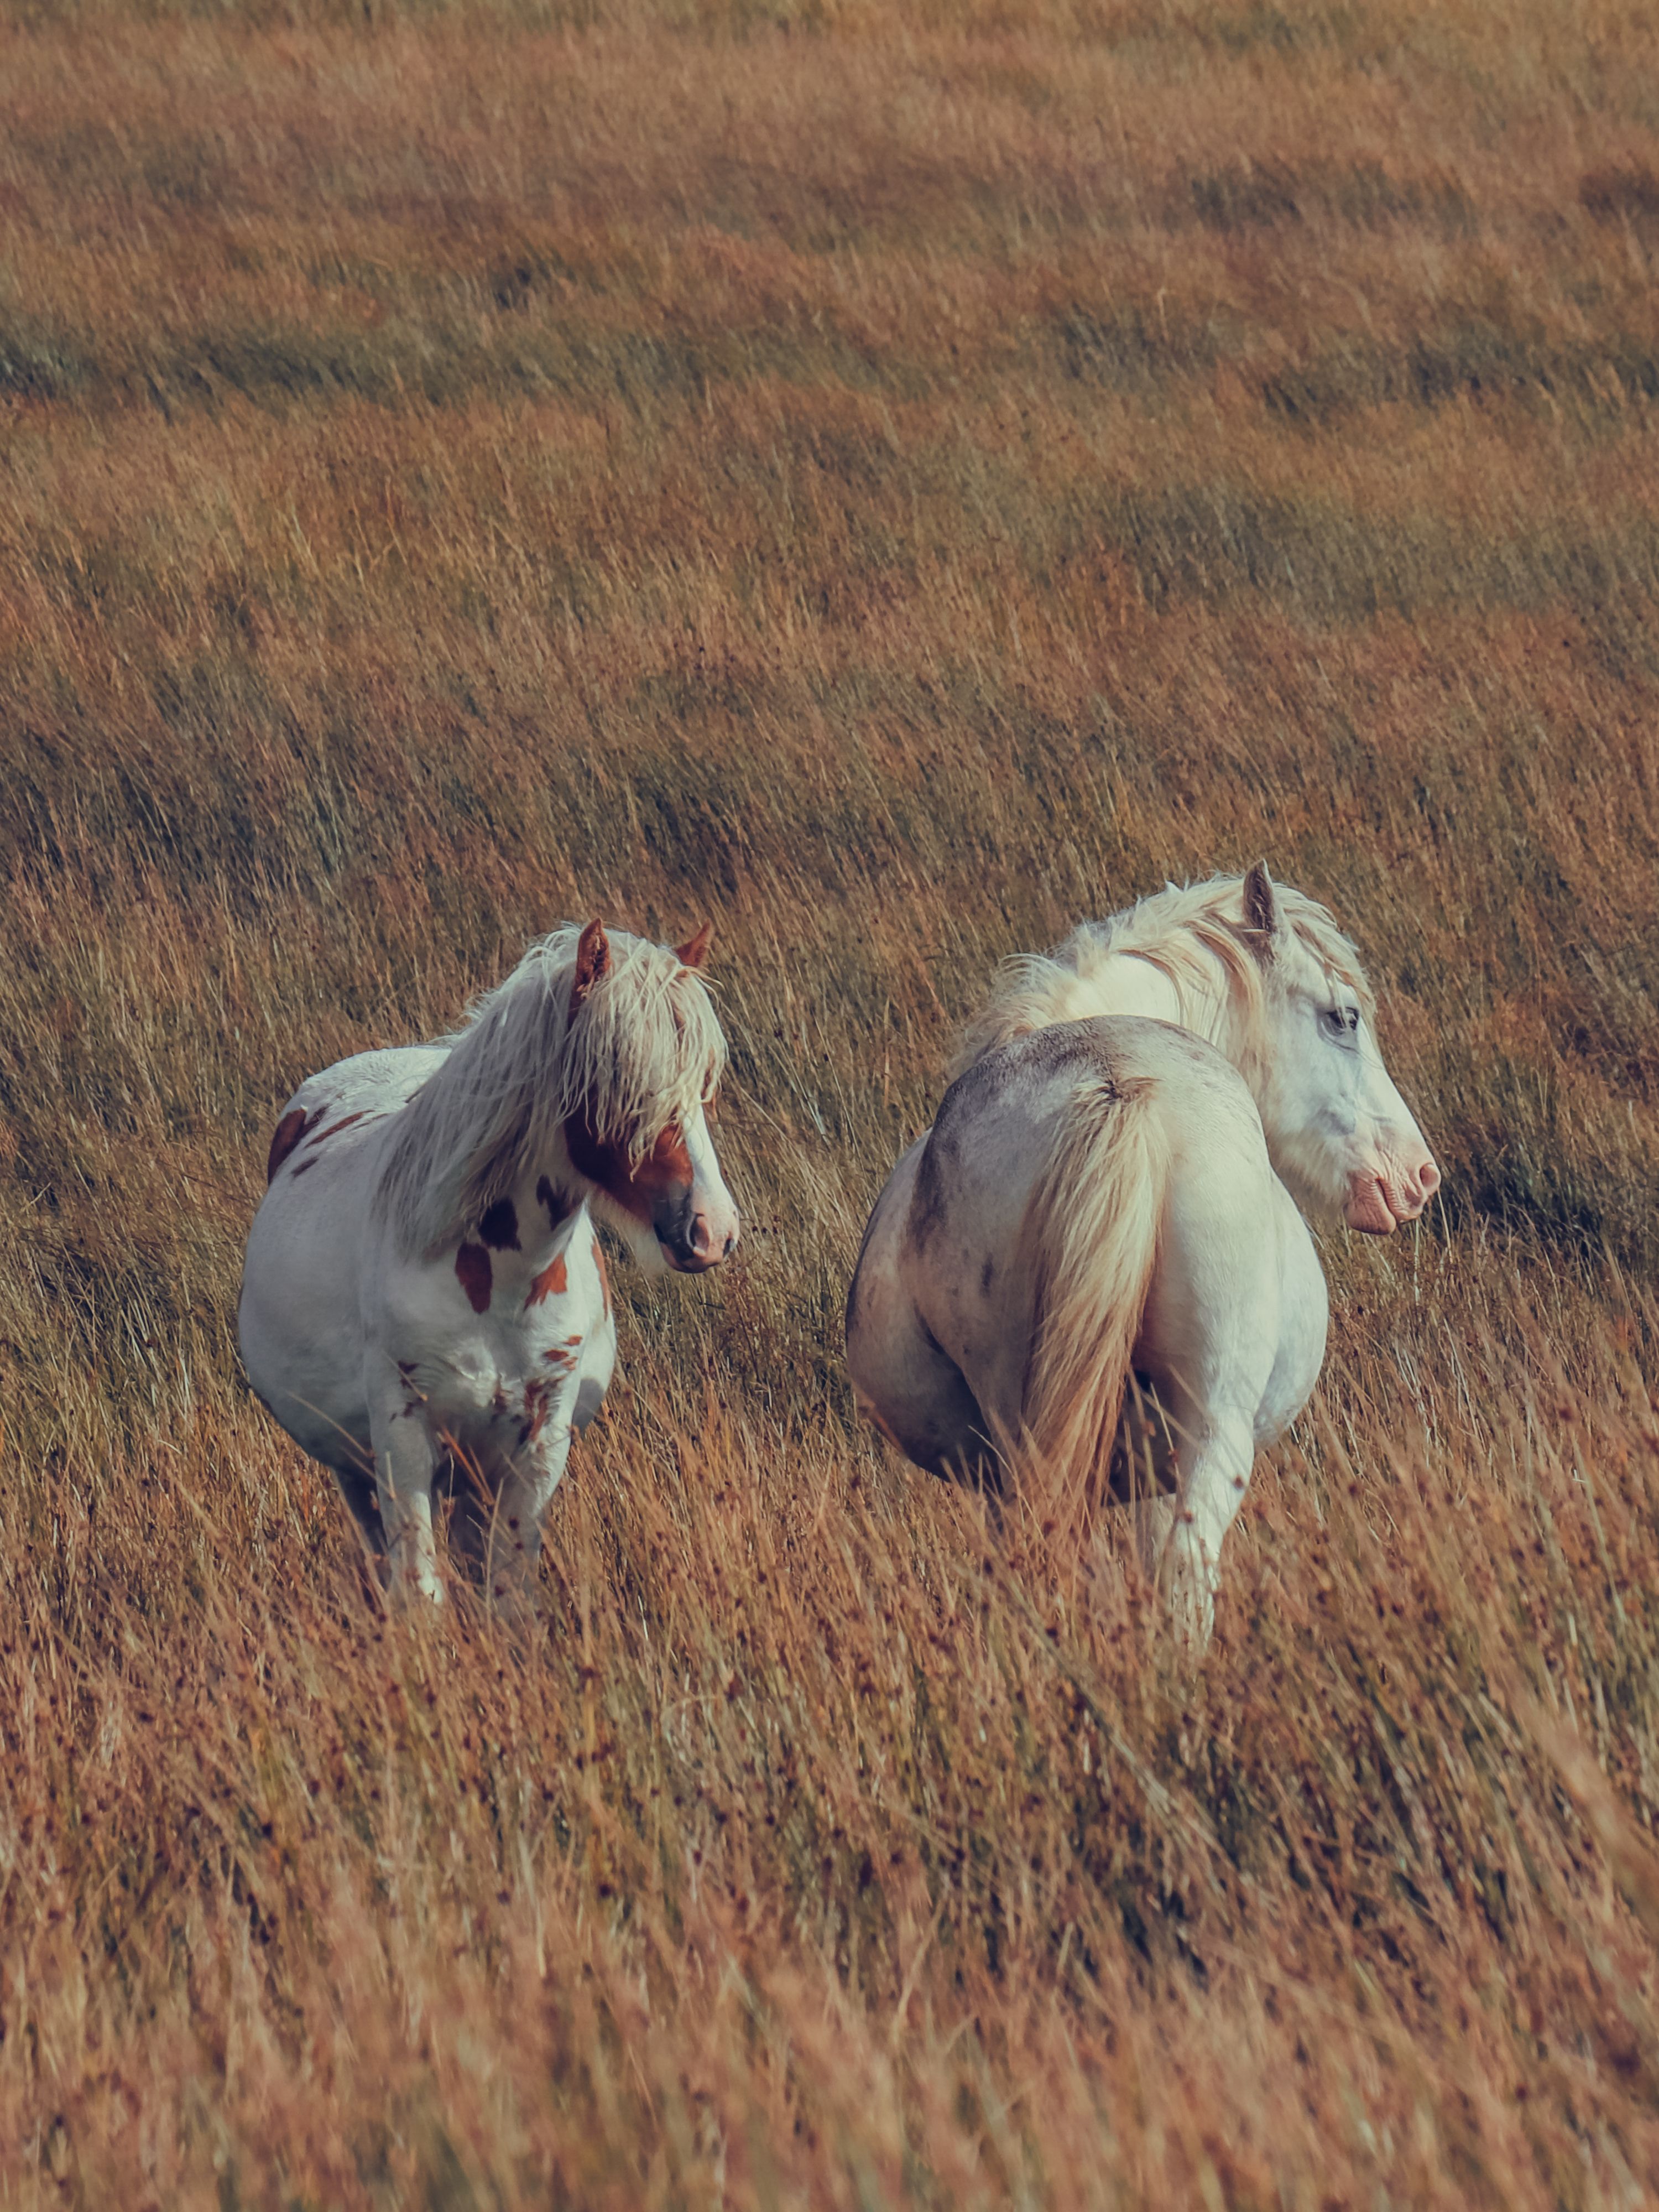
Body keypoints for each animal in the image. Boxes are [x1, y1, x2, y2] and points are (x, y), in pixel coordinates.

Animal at [239, 918, 739, 1615]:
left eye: (704, 1089)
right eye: (620, 1082)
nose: (712, 1231)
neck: (498, 1286)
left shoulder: (537, 1443)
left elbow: (508, 1597)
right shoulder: (403, 1441)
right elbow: (420, 1595)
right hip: (358, 1466)